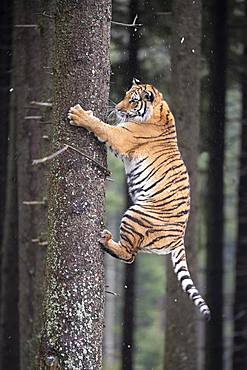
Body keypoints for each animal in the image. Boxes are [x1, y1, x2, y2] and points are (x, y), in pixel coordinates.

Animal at [67, 76, 210, 320]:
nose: (117, 108)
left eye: (133, 101)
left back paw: (106, 240)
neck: (159, 109)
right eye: (125, 95)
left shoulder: (122, 136)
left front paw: (79, 114)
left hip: (136, 214)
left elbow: (101, 126)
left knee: (130, 255)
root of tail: (180, 237)